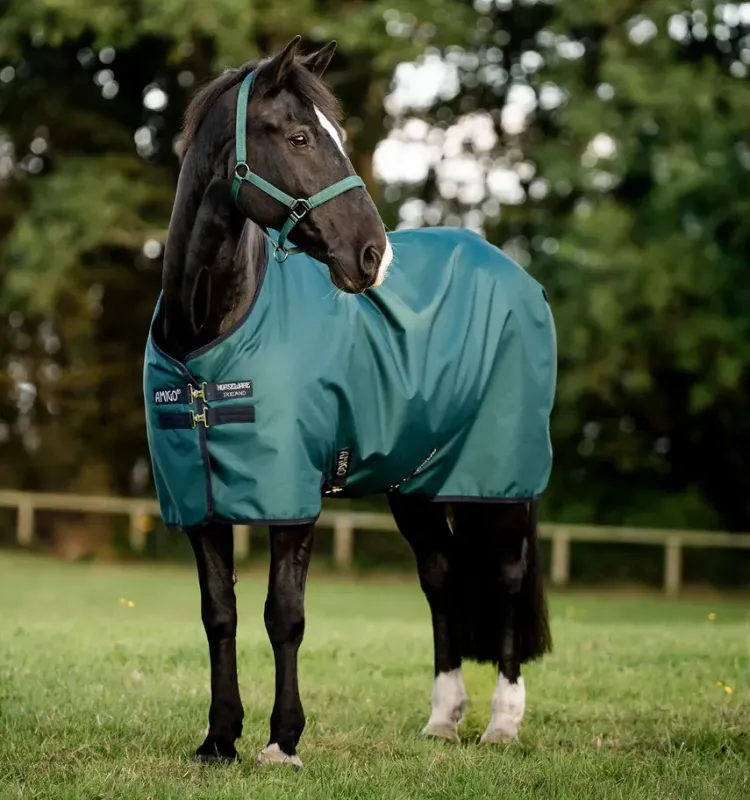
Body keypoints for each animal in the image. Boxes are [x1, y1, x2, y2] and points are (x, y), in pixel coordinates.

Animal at [144, 36, 555, 767]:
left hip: (500, 480)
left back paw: (502, 722)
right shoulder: (198, 501)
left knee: (506, 578)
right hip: (416, 485)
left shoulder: (292, 497)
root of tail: (515, 273)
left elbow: (284, 615)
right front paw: (219, 738)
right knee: (441, 576)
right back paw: (443, 718)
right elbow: (219, 614)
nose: (373, 256)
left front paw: (283, 741)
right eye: (300, 136)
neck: (207, 340)